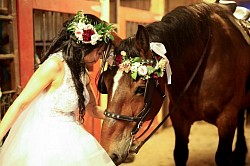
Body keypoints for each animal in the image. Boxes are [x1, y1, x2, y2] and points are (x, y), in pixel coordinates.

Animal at [99, 1, 250, 165]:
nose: (108, 152)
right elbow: (180, 153)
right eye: (106, 84)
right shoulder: (179, 118)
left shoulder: (226, 119)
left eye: (141, 89)